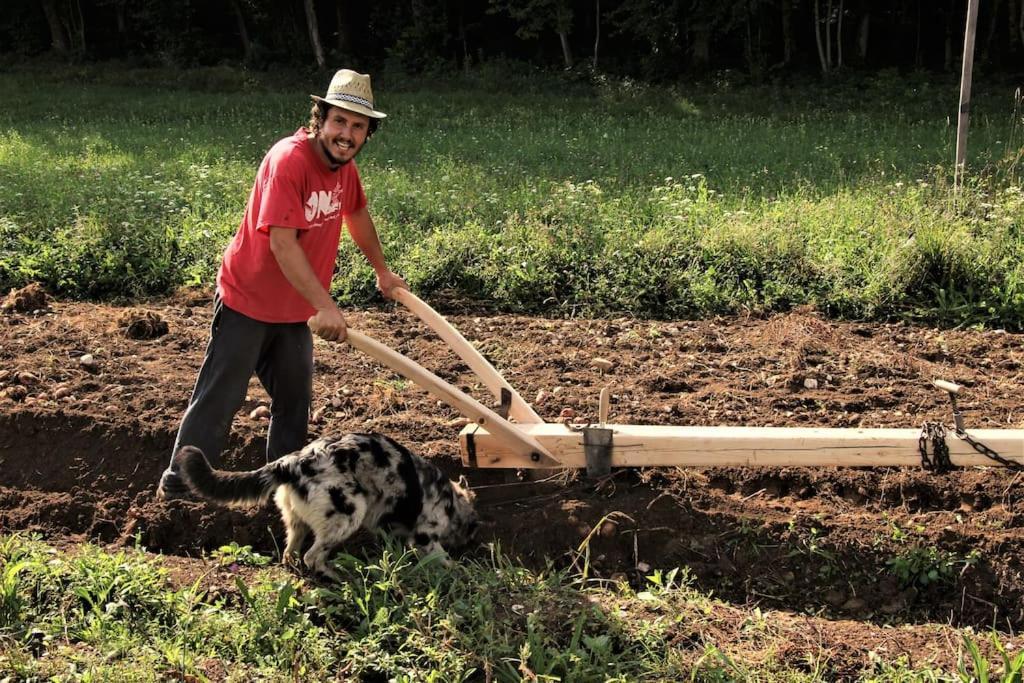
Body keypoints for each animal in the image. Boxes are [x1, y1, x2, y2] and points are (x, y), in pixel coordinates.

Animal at [174, 432, 477, 577]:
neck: (452, 501)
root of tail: (293, 462)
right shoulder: (425, 536)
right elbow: (440, 557)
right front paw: (459, 569)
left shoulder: (386, 526)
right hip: (348, 515)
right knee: (313, 556)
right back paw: (338, 575)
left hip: (296, 521)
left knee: (291, 552)